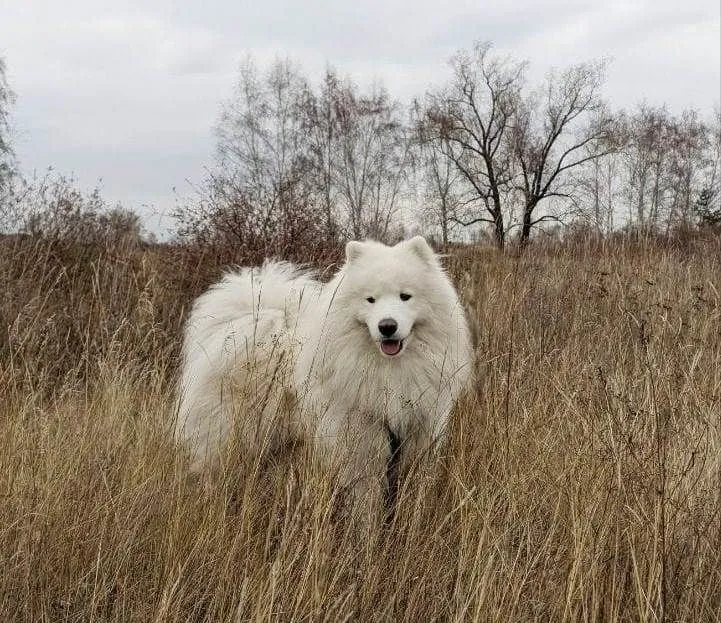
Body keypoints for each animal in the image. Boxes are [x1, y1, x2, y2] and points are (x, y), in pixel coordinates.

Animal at [178, 236, 476, 516]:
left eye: (405, 296)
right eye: (370, 300)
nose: (387, 326)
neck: (391, 371)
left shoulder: (419, 438)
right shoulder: (361, 447)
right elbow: (367, 504)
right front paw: (367, 534)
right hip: (231, 441)